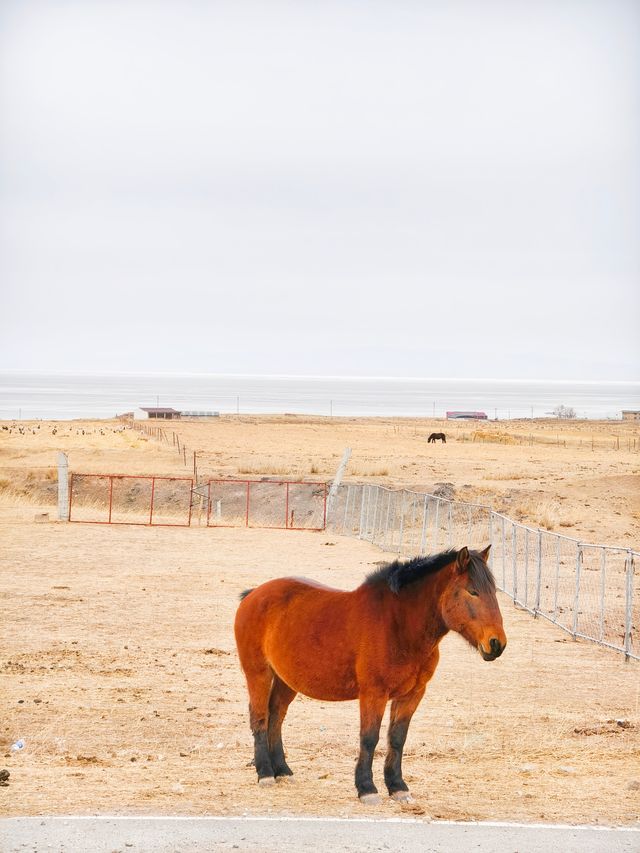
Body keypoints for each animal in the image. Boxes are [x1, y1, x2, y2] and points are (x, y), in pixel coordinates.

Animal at [234, 544, 504, 800]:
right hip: (258, 673)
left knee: (276, 716)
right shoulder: (374, 694)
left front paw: (397, 787)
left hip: (286, 680)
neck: (398, 624)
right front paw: (367, 788)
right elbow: (369, 738)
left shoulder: (412, 695)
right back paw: (265, 773)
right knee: (259, 716)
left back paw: (282, 770)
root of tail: (253, 595)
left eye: (493, 592)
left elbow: (397, 739)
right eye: (472, 591)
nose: (496, 643)